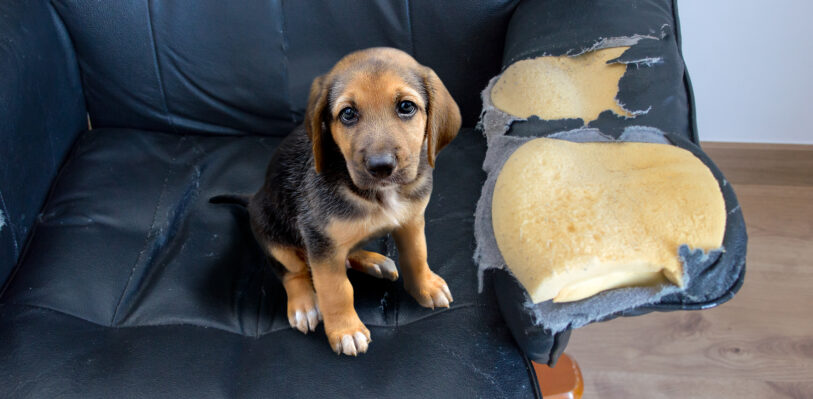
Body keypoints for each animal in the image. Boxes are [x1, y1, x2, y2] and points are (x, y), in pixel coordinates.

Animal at [249, 47, 464, 356]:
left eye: (406, 107)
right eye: (348, 114)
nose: (381, 167)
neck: (379, 194)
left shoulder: (412, 221)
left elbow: (417, 255)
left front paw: (425, 285)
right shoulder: (320, 241)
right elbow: (336, 289)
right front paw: (346, 330)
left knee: (347, 253)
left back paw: (374, 261)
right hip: (271, 230)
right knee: (293, 271)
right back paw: (304, 304)